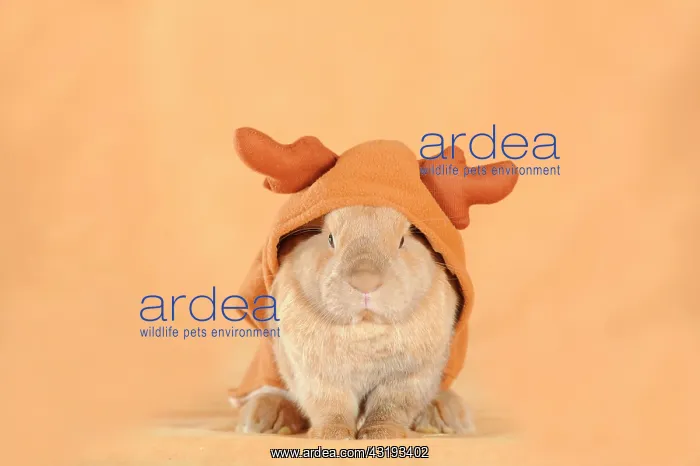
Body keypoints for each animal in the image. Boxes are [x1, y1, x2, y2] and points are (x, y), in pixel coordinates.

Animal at [265, 204, 465, 439]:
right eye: (330, 239)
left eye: (402, 241)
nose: (365, 281)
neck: (365, 330)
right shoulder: (318, 377)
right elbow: (332, 406)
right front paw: (332, 434)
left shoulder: (408, 378)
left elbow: (389, 407)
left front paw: (382, 434)